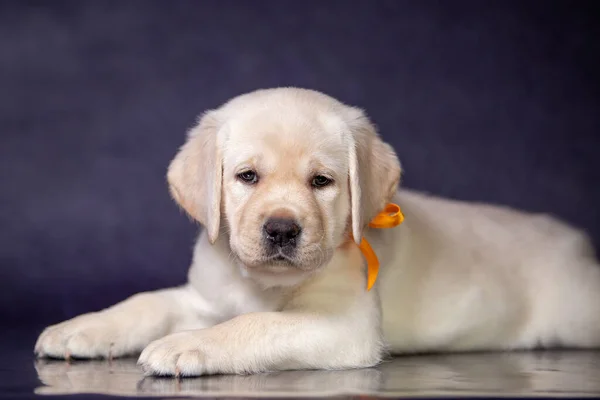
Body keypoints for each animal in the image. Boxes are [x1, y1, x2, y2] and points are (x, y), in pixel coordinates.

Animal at [34, 86, 600, 376]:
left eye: (321, 181)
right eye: (247, 177)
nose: (282, 229)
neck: (260, 282)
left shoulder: (343, 326)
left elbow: (254, 325)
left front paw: (185, 346)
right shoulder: (203, 295)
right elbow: (146, 302)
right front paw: (82, 328)